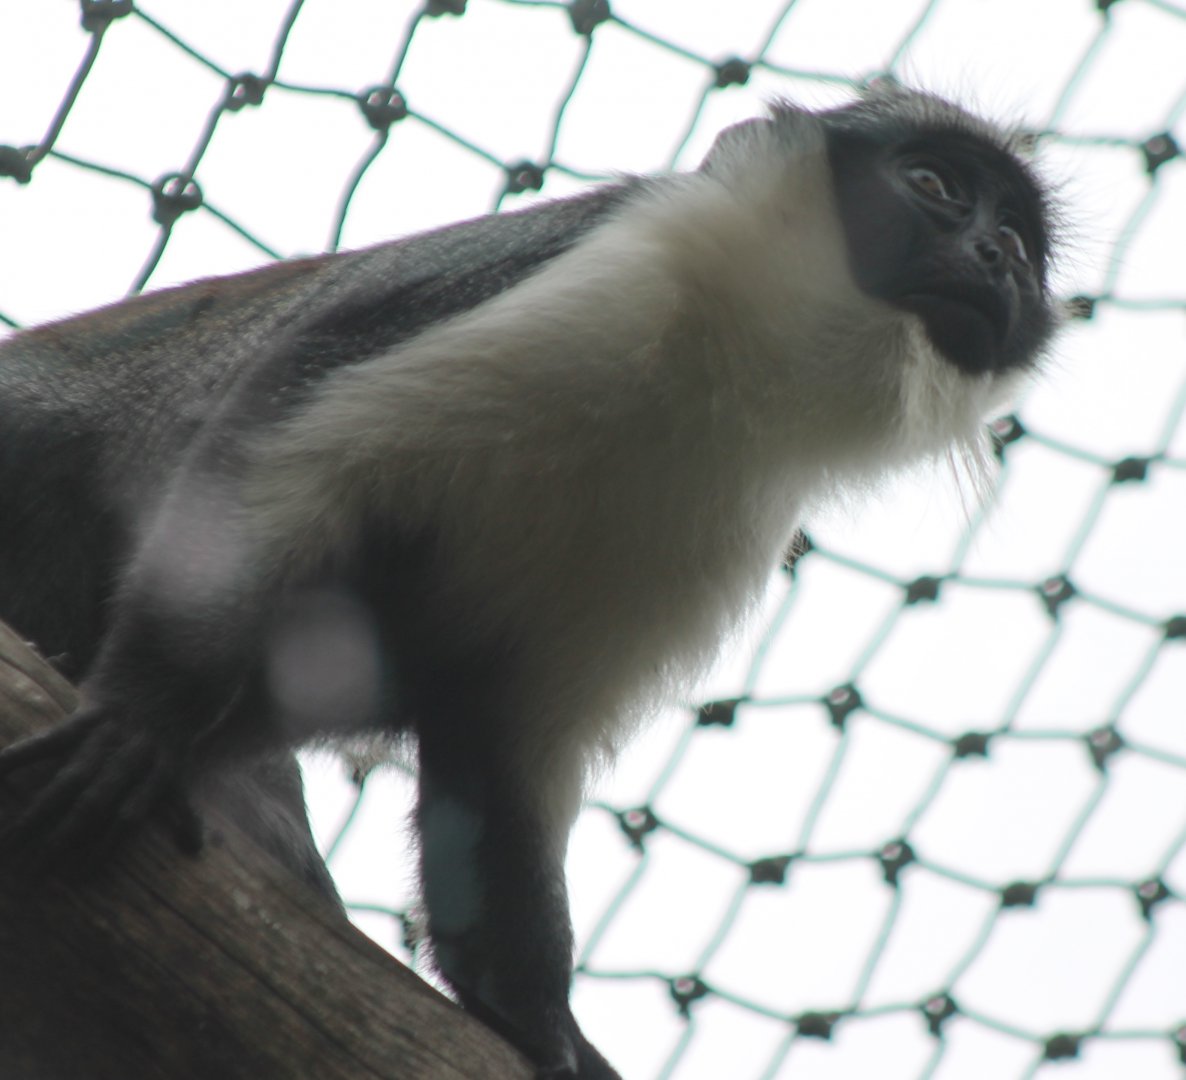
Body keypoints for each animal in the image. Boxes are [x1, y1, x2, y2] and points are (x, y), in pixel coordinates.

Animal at [0, 85, 1058, 1078]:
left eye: (1018, 240)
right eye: (936, 185)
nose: (997, 259)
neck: (728, 364)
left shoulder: (721, 519)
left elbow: (504, 748)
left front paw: (539, 1020)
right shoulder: (600, 268)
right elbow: (275, 457)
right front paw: (141, 721)